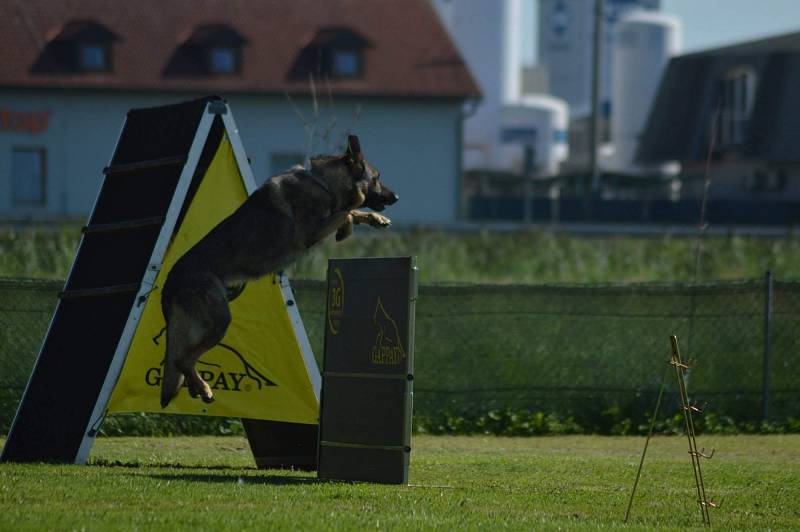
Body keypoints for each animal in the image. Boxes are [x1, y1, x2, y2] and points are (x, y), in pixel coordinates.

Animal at [159, 136, 396, 408]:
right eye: (377, 177)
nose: (397, 197)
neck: (323, 183)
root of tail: (170, 280)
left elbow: (352, 211)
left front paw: (375, 219)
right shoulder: (311, 232)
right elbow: (345, 213)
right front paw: (346, 230)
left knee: (182, 359)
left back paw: (196, 387)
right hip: (218, 320)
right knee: (181, 359)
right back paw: (204, 388)